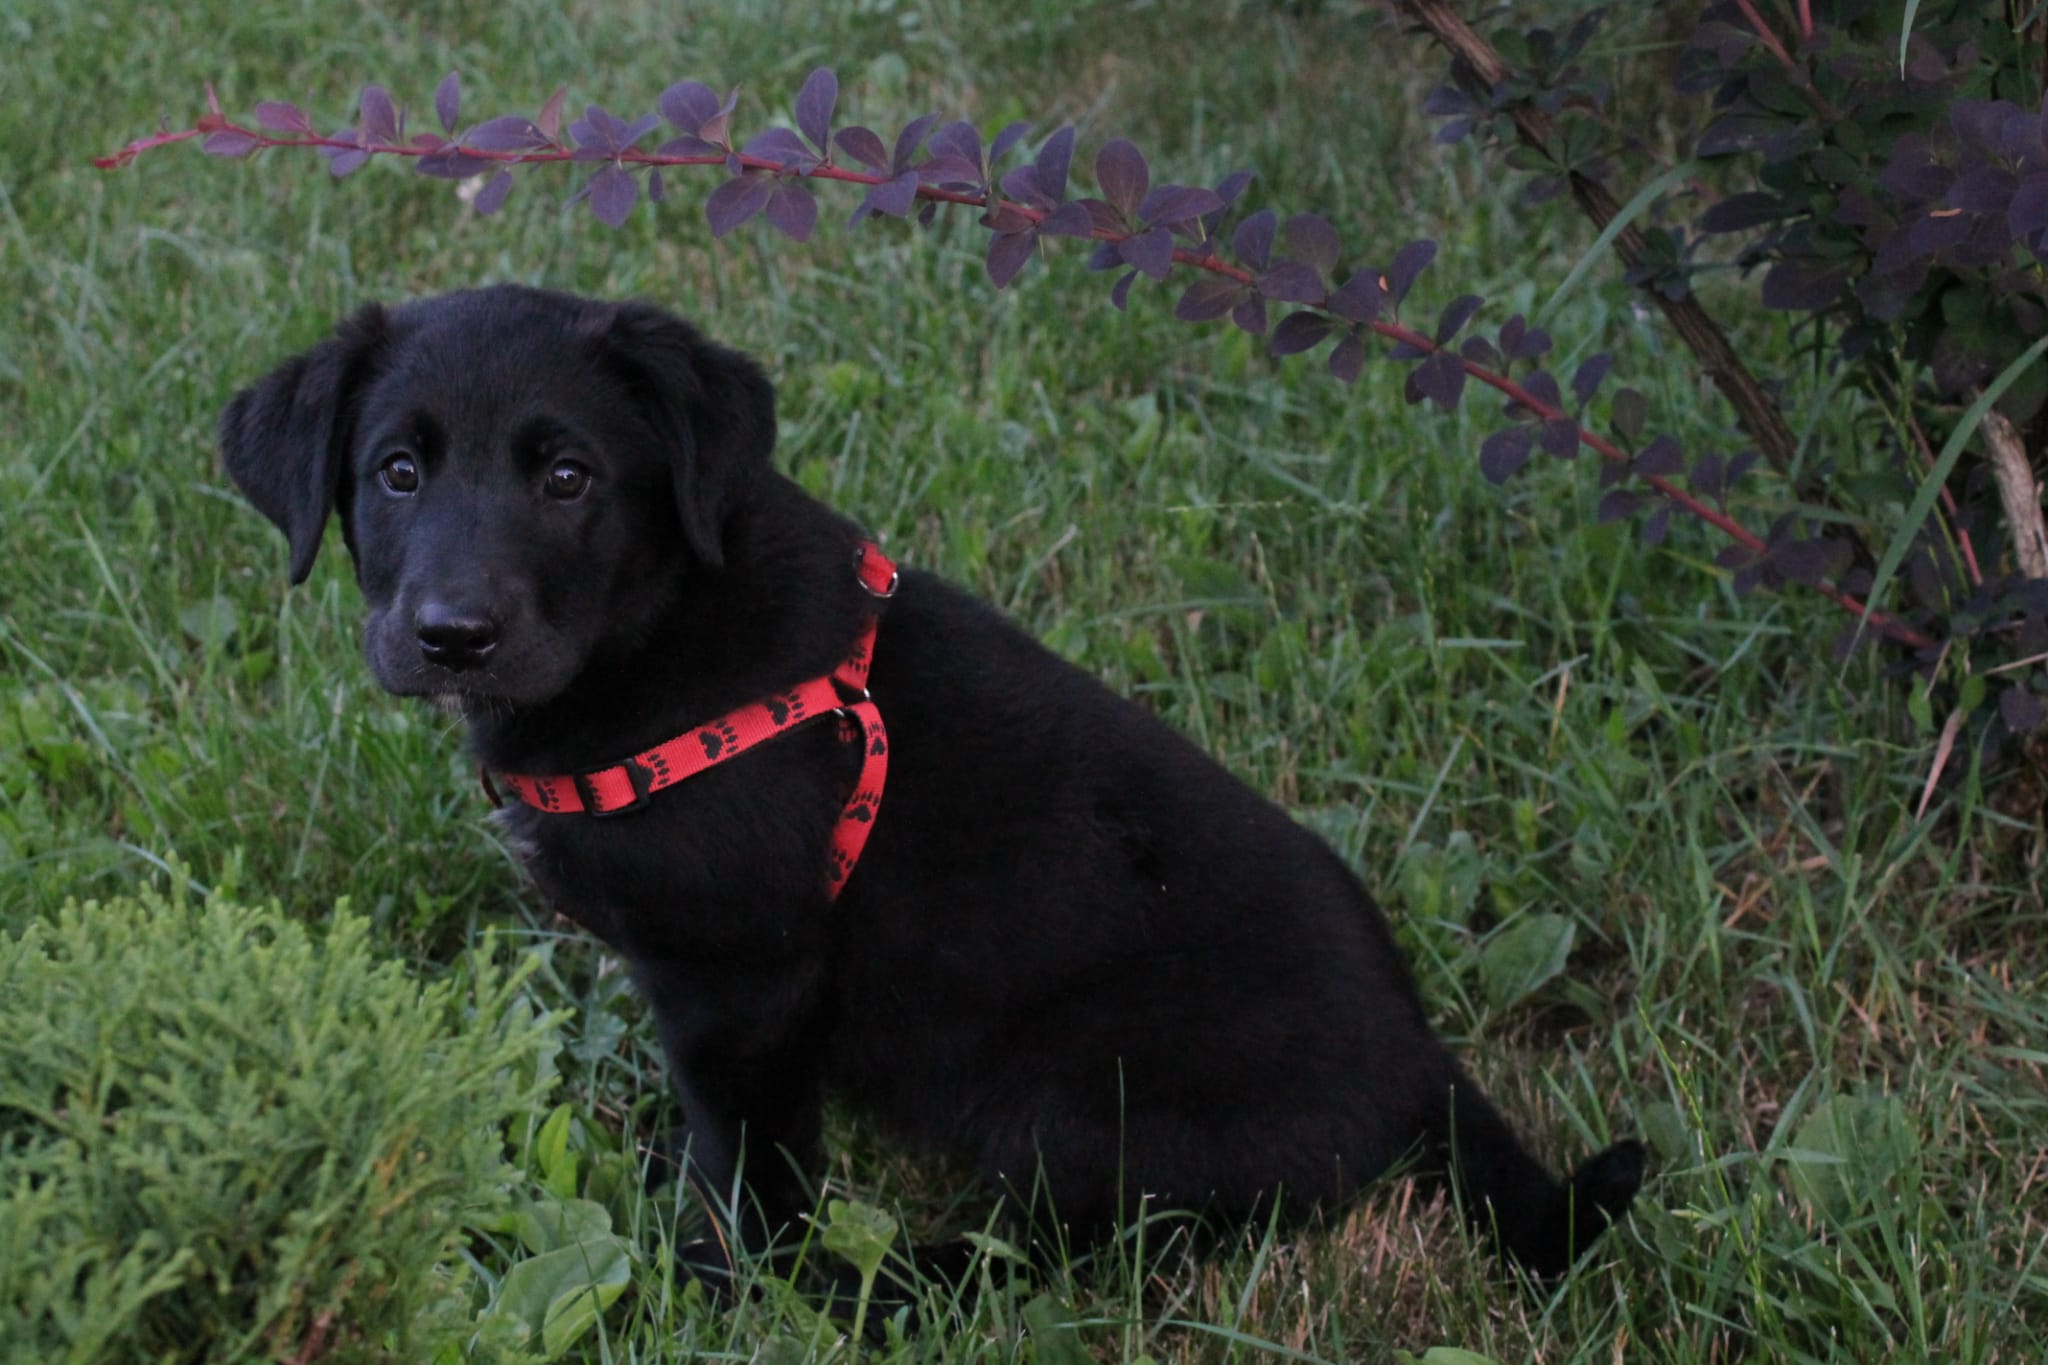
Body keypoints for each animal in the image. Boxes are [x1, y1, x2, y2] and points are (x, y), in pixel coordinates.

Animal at [219, 284, 1643, 1283]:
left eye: (567, 476)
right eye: (396, 472)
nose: (451, 633)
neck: (663, 634)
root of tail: (1423, 1064)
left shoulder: (745, 981)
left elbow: (749, 1161)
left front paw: (739, 1283)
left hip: (1068, 1103)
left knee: (1110, 1244)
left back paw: (910, 1280)